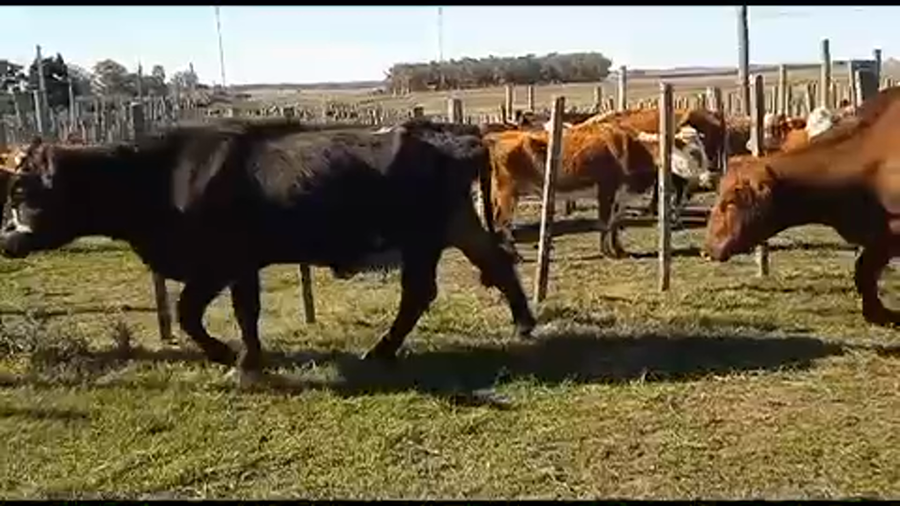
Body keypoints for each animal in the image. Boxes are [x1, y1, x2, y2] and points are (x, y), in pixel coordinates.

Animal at [0, 118, 538, 387]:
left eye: (26, 193)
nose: (7, 239)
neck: (160, 177)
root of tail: (452, 132)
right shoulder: (243, 265)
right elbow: (244, 311)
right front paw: (249, 356)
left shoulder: (220, 262)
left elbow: (192, 312)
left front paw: (231, 358)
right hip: (455, 224)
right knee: (494, 261)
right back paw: (523, 323)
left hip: (423, 237)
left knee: (419, 293)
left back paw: (382, 349)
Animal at [483, 121, 658, 259]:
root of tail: (496, 138)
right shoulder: (606, 190)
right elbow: (605, 223)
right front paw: (607, 252)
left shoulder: (621, 196)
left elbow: (615, 223)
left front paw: (620, 251)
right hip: (508, 192)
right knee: (503, 221)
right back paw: (515, 255)